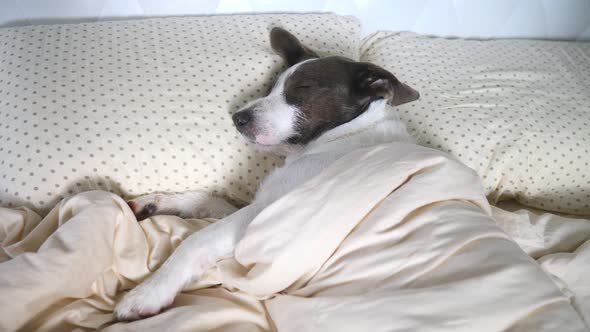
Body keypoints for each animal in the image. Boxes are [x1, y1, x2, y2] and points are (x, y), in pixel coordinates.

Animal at [114, 28, 420, 322]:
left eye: (303, 87)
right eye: (270, 87)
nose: (237, 118)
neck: (346, 133)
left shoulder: (260, 219)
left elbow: (195, 241)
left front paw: (147, 293)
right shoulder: (260, 206)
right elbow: (207, 199)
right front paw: (159, 202)